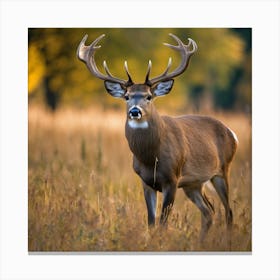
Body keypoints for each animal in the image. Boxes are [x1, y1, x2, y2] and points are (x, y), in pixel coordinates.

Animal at [77, 32, 238, 238]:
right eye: (127, 97)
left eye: (149, 96)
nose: (135, 111)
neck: (151, 158)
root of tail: (231, 133)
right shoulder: (146, 181)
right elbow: (151, 222)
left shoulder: (172, 178)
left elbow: (163, 223)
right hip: (193, 184)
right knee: (209, 211)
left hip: (223, 170)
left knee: (228, 211)